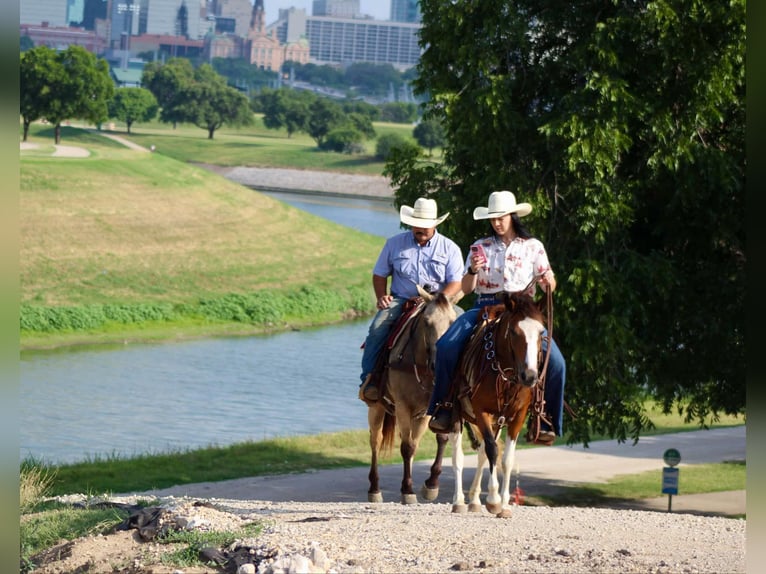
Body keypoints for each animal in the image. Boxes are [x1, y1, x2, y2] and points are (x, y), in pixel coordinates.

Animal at [366, 285, 463, 504]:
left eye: (453, 323)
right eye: (427, 322)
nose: (438, 363)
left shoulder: (428, 410)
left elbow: (433, 440)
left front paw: (431, 485)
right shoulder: (403, 405)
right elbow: (406, 447)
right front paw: (407, 490)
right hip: (376, 407)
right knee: (375, 441)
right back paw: (374, 488)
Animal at [447, 291, 546, 517]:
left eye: (541, 332)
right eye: (514, 332)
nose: (529, 376)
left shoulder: (518, 415)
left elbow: (506, 458)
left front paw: (505, 505)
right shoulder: (481, 411)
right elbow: (492, 450)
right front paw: (493, 500)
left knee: (482, 453)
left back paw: (474, 500)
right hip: (458, 415)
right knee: (458, 456)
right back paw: (459, 501)